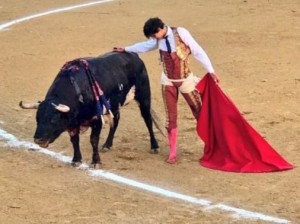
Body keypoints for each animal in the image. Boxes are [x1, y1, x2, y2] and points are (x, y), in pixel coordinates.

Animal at [19, 51, 162, 165]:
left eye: (53, 120)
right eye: (37, 119)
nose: (38, 139)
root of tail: (133, 55)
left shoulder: (96, 119)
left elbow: (93, 140)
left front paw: (96, 161)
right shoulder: (72, 124)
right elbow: (74, 140)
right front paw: (76, 160)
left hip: (144, 97)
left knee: (148, 120)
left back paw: (154, 146)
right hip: (114, 106)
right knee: (115, 121)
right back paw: (107, 145)